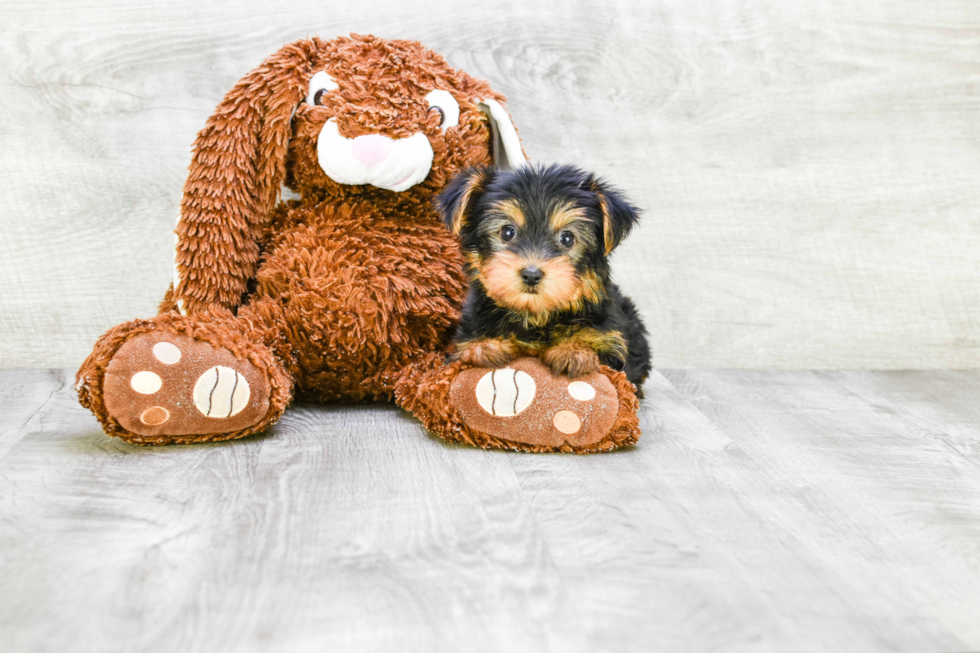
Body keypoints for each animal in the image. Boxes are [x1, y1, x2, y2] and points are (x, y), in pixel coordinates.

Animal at [436, 163, 652, 388]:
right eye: (507, 232)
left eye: (567, 238)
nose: (531, 275)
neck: (536, 316)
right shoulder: (468, 331)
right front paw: (485, 347)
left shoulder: (609, 338)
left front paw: (574, 351)